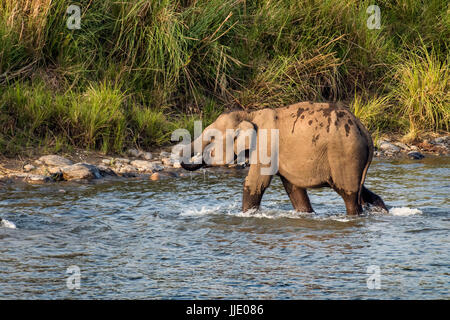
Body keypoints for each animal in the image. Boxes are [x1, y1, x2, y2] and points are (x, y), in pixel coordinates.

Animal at [179, 101, 386, 215]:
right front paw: (306, 214)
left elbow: (255, 183)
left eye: (211, 139)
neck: (249, 113)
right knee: (362, 192)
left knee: (350, 196)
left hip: (345, 153)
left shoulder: (266, 146)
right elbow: (294, 189)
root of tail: (366, 132)